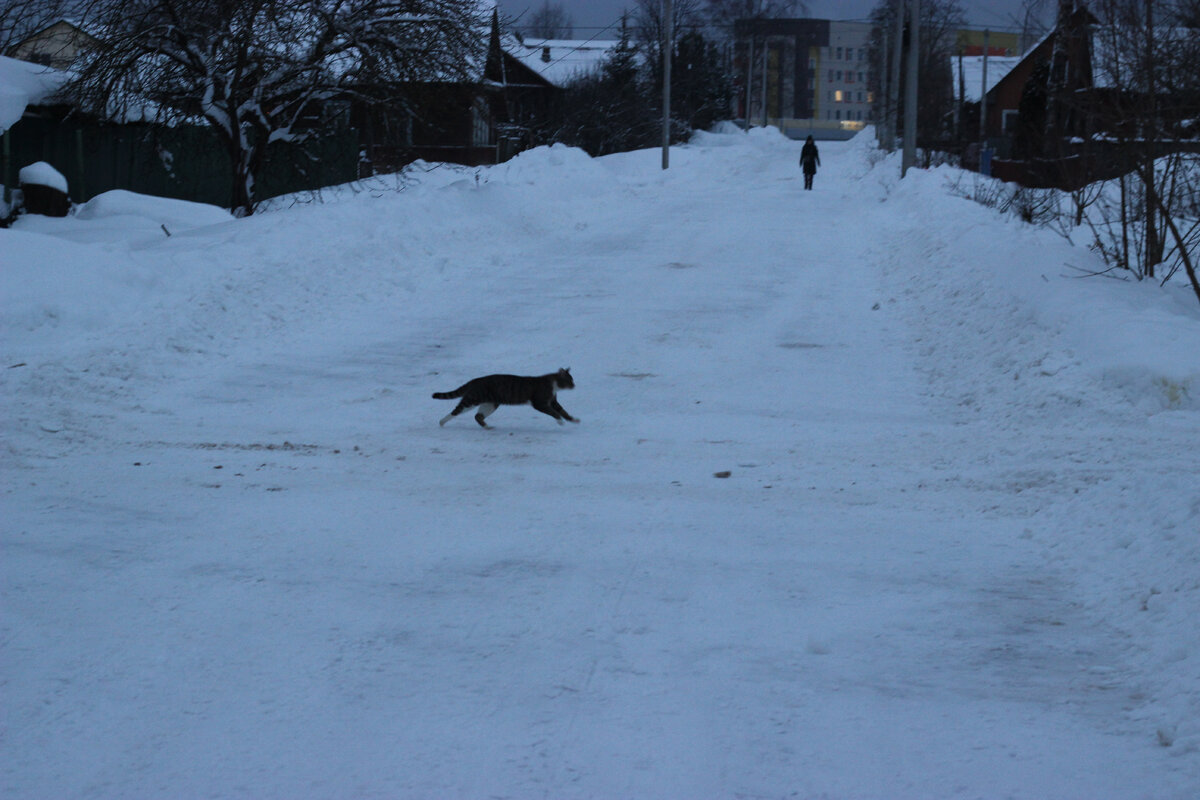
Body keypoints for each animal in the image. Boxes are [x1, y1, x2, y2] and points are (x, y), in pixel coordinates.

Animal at [432, 371, 580, 431]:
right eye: (569, 380)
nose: (574, 385)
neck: (553, 384)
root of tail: (474, 380)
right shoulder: (540, 403)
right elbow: (554, 413)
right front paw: (560, 421)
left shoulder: (553, 401)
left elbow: (563, 411)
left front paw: (573, 420)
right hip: (473, 399)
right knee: (456, 410)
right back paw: (441, 422)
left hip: (491, 403)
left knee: (478, 416)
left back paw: (488, 427)